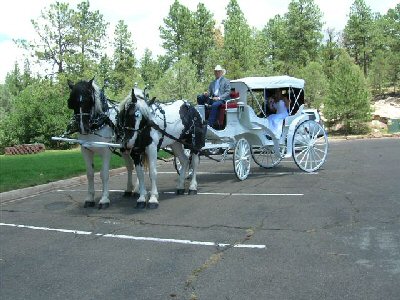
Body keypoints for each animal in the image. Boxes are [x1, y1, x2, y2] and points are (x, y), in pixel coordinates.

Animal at [67, 78, 138, 207]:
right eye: (72, 102)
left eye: (89, 100)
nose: (83, 127)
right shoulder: (85, 150)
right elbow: (90, 174)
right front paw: (90, 198)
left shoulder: (106, 150)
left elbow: (104, 174)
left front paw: (104, 199)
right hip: (124, 148)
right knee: (130, 166)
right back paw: (129, 189)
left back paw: (137, 189)